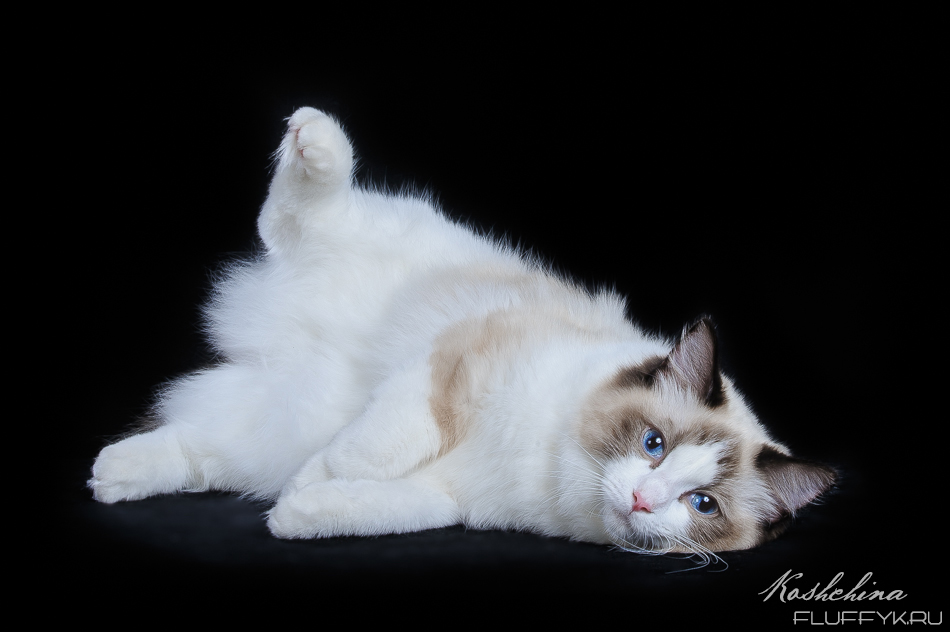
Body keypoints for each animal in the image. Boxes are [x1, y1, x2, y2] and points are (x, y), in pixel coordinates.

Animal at [87, 107, 832, 552]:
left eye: (701, 503)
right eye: (653, 443)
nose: (645, 499)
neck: (550, 461)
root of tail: (254, 334)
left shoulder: (453, 500)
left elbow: (378, 502)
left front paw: (295, 511)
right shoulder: (446, 370)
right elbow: (366, 453)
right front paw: (313, 482)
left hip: (263, 422)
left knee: (191, 447)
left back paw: (112, 476)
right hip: (348, 234)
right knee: (294, 208)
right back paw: (314, 138)